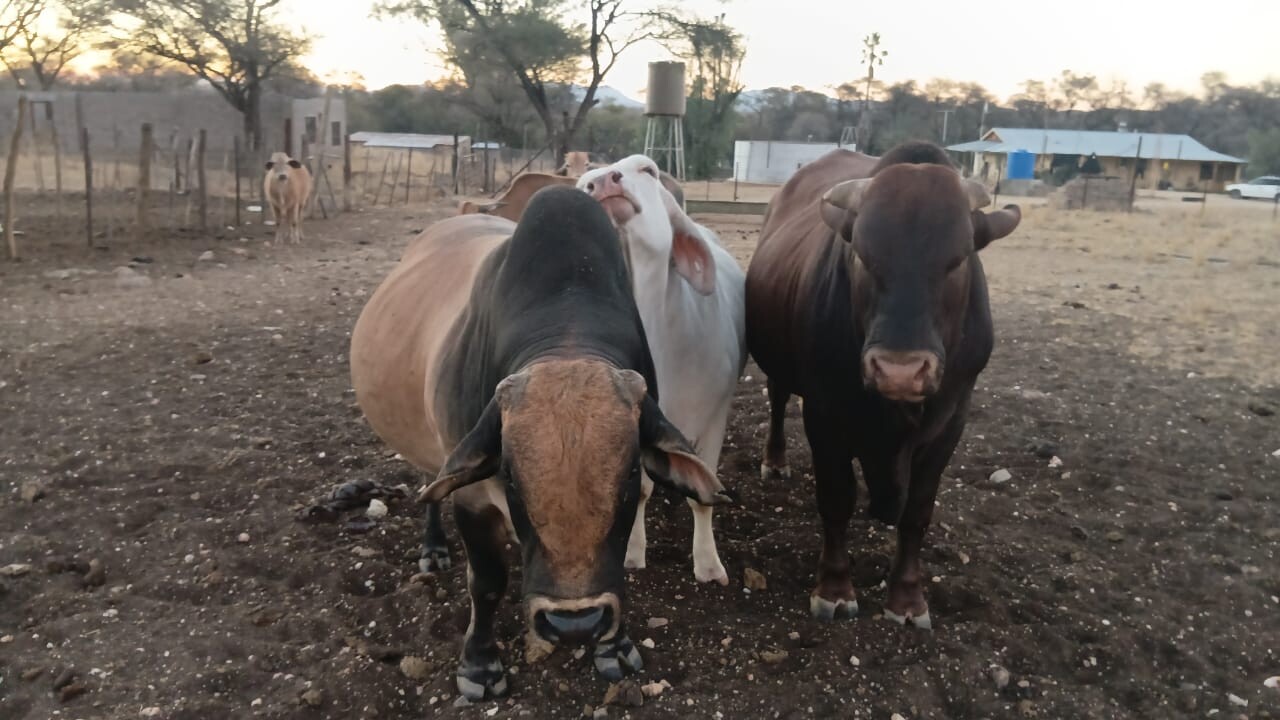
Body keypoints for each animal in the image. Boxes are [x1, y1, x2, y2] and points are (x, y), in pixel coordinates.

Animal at [350, 186, 728, 699]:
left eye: (631, 471)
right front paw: (480, 666)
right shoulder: (472, 495)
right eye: (509, 474)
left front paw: (614, 647)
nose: (575, 624)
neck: (567, 340)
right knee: (430, 486)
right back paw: (434, 548)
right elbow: (487, 581)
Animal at [578, 154, 746, 585]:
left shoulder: (714, 418)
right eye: (581, 182)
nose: (601, 182)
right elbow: (637, 491)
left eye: (648, 170)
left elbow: (705, 494)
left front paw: (707, 563)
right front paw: (633, 553)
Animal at [745, 141, 1021, 626]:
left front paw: (907, 597)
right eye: (862, 255)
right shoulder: (825, 416)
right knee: (778, 399)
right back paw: (775, 461)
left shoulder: (953, 420)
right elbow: (836, 498)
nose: (899, 371)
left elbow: (917, 512)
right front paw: (834, 588)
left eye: (958, 259)